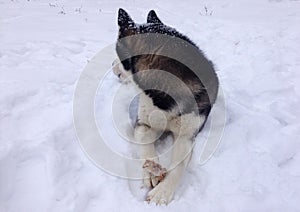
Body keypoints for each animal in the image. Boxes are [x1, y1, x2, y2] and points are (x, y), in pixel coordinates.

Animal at [112, 8, 218, 205]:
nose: (111, 64)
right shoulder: (145, 123)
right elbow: (144, 140)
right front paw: (151, 171)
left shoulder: (186, 134)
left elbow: (179, 165)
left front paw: (162, 192)